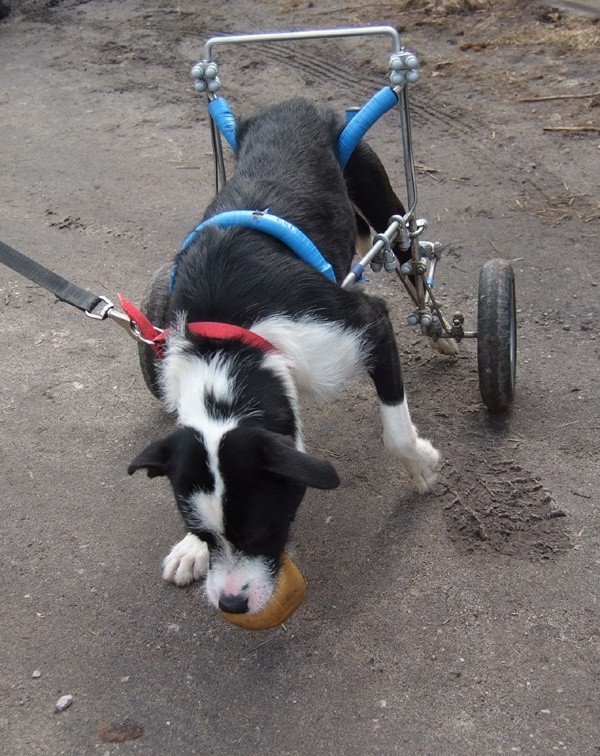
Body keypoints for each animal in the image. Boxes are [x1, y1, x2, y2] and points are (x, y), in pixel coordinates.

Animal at [129, 99, 438, 616]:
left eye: (263, 527)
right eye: (204, 533)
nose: (231, 604)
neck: (228, 343)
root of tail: (294, 105)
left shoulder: (366, 325)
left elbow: (395, 431)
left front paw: (418, 463)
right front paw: (189, 552)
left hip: (379, 191)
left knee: (408, 250)